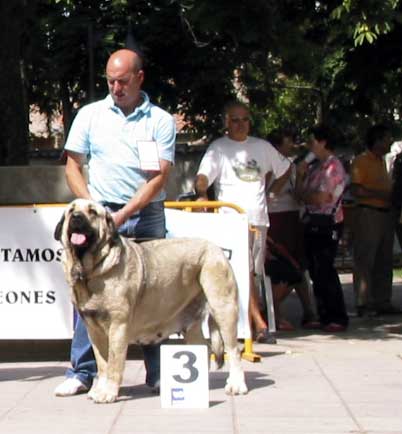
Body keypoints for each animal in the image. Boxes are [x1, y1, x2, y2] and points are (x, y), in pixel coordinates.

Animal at [53, 200, 248, 404]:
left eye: (92, 212)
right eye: (71, 211)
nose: (76, 217)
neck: (92, 270)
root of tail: (215, 248)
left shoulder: (118, 327)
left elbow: (114, 363)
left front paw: (108, 393)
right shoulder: (94, 330)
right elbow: (102, 363)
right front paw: (99, 389)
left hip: (223, 308)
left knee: (233, 350)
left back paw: (236, 385)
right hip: (192, 324)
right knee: (203, 347)